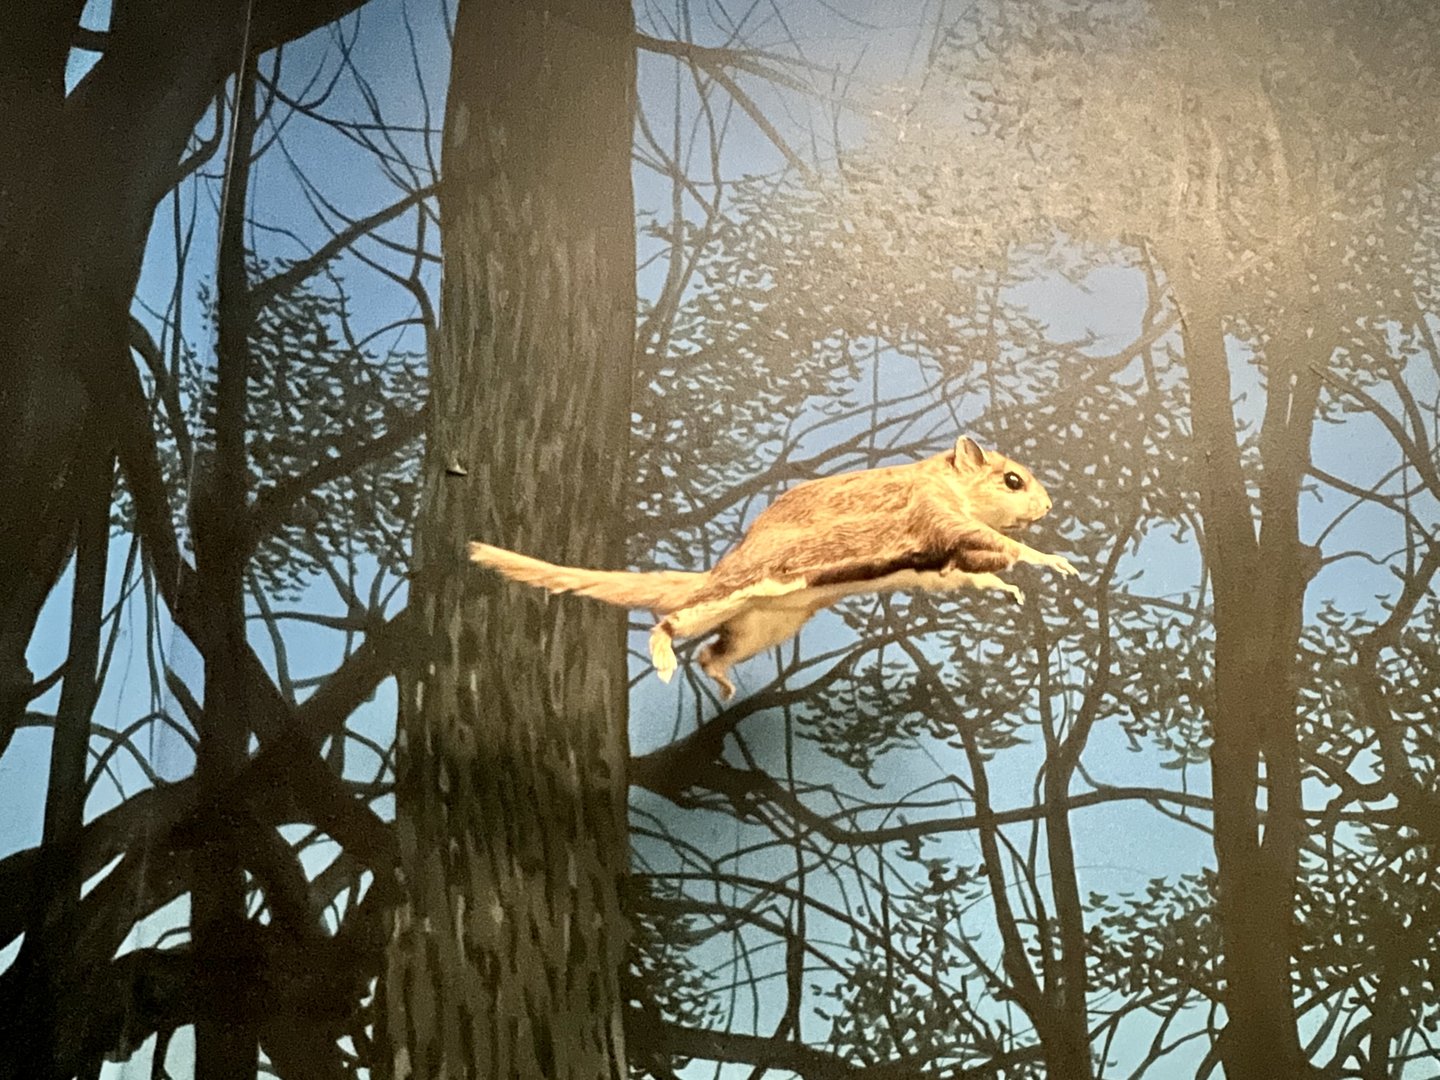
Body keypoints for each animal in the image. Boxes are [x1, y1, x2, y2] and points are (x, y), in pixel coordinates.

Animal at [468, 435, 1077, 700]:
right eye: (1012, 479)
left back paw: (722, 684)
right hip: (733, 595)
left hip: (765, 625)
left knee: (713, 653)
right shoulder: (937, 515)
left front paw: (1011, 589)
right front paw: (1051, 559)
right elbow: (996, 542)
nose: (1050, 506)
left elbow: (973, 574)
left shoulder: (943, 562)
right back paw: (665, 660)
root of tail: (720, 569)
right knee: (670, 623)